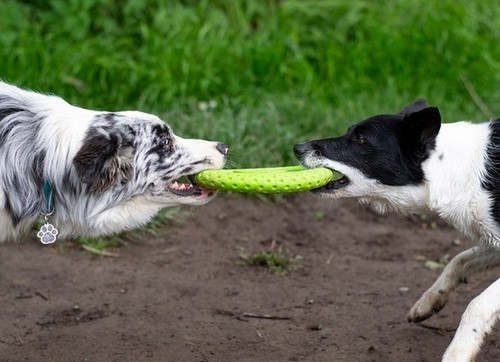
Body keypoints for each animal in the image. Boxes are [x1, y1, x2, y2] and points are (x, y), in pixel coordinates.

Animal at [294, 99, 498, 362]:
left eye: (361, 139)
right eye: (350, 131)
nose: (297, 148)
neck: (458, 169)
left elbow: (477, 305)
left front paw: (458, 353)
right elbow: (458, 260)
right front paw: (429, 300)